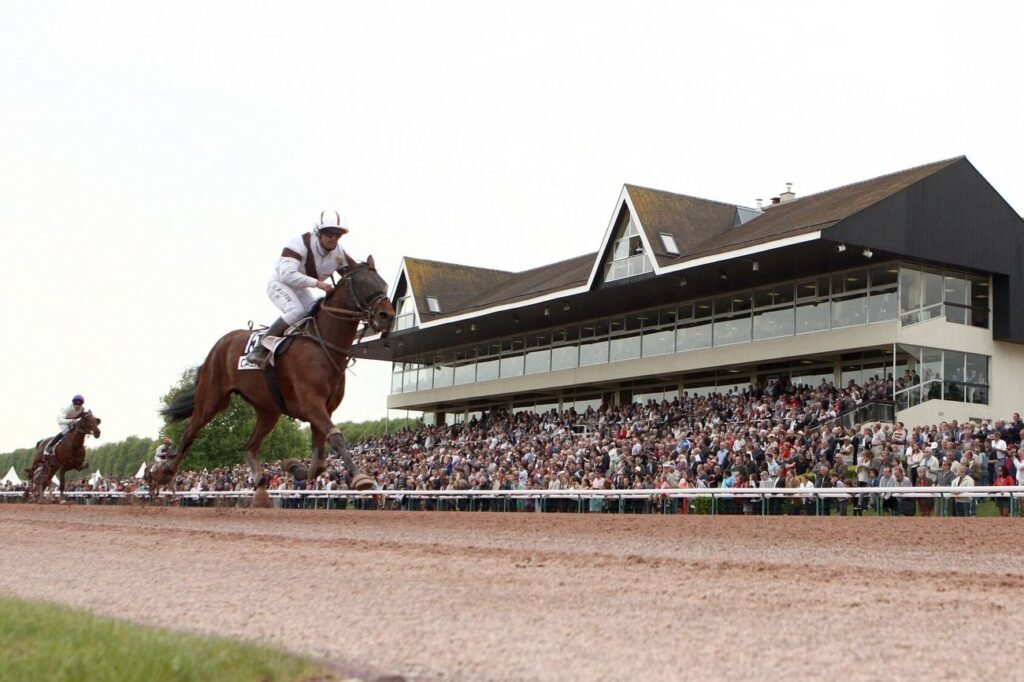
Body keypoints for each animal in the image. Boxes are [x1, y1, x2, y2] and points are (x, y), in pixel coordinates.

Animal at [160, 258, 395, 501]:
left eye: (383, 284)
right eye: (362, 284)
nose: (387, 315)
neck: (323, 345)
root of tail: (219, 346)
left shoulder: (324, 409)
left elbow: (319, 461)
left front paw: (294, 467)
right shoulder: (312, 403)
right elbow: (336, 439)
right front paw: (361, 478)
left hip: (268, 410)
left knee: (249, 446)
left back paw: (258, 480)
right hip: (212, 398)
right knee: (190, 432)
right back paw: (165, 472)